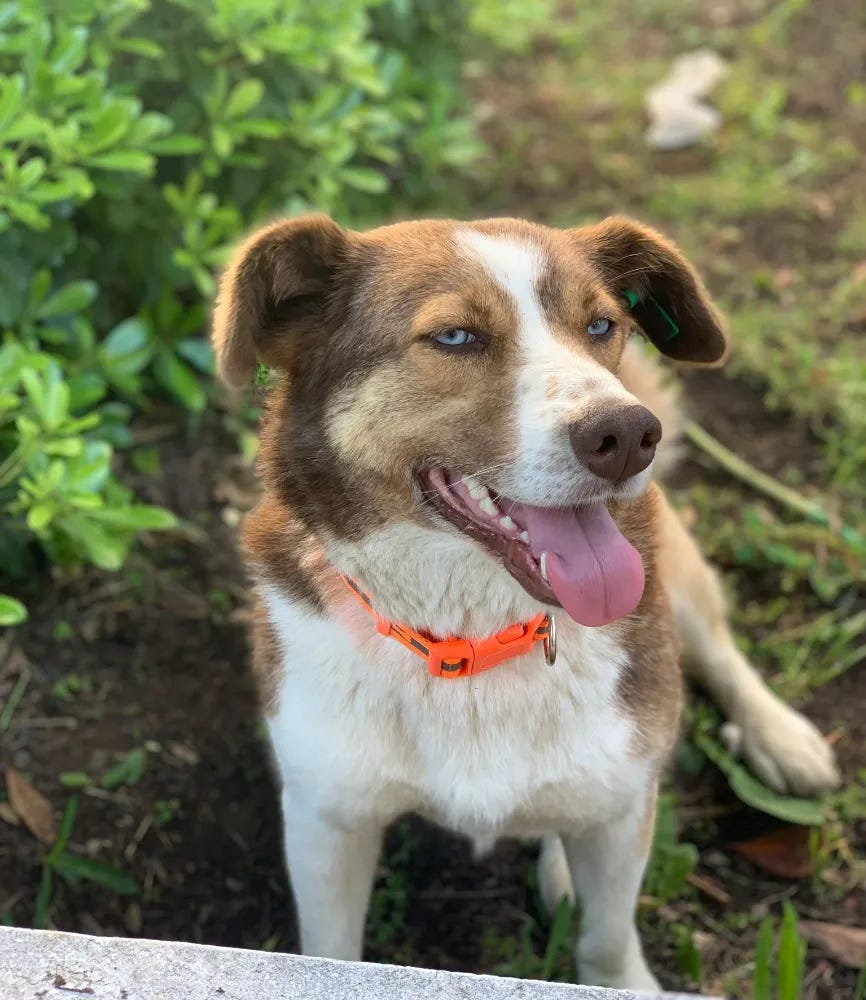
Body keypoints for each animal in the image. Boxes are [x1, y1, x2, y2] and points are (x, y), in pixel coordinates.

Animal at [212, 214, 839, 990]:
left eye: (601, 324)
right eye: (455, 337)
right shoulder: (327, 819)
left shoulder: (624, 801)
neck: (473, 641)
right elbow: (330, 950)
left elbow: (608, 939)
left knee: (722, 654)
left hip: (676, 578)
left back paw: (781, 738)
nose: (628, 434)